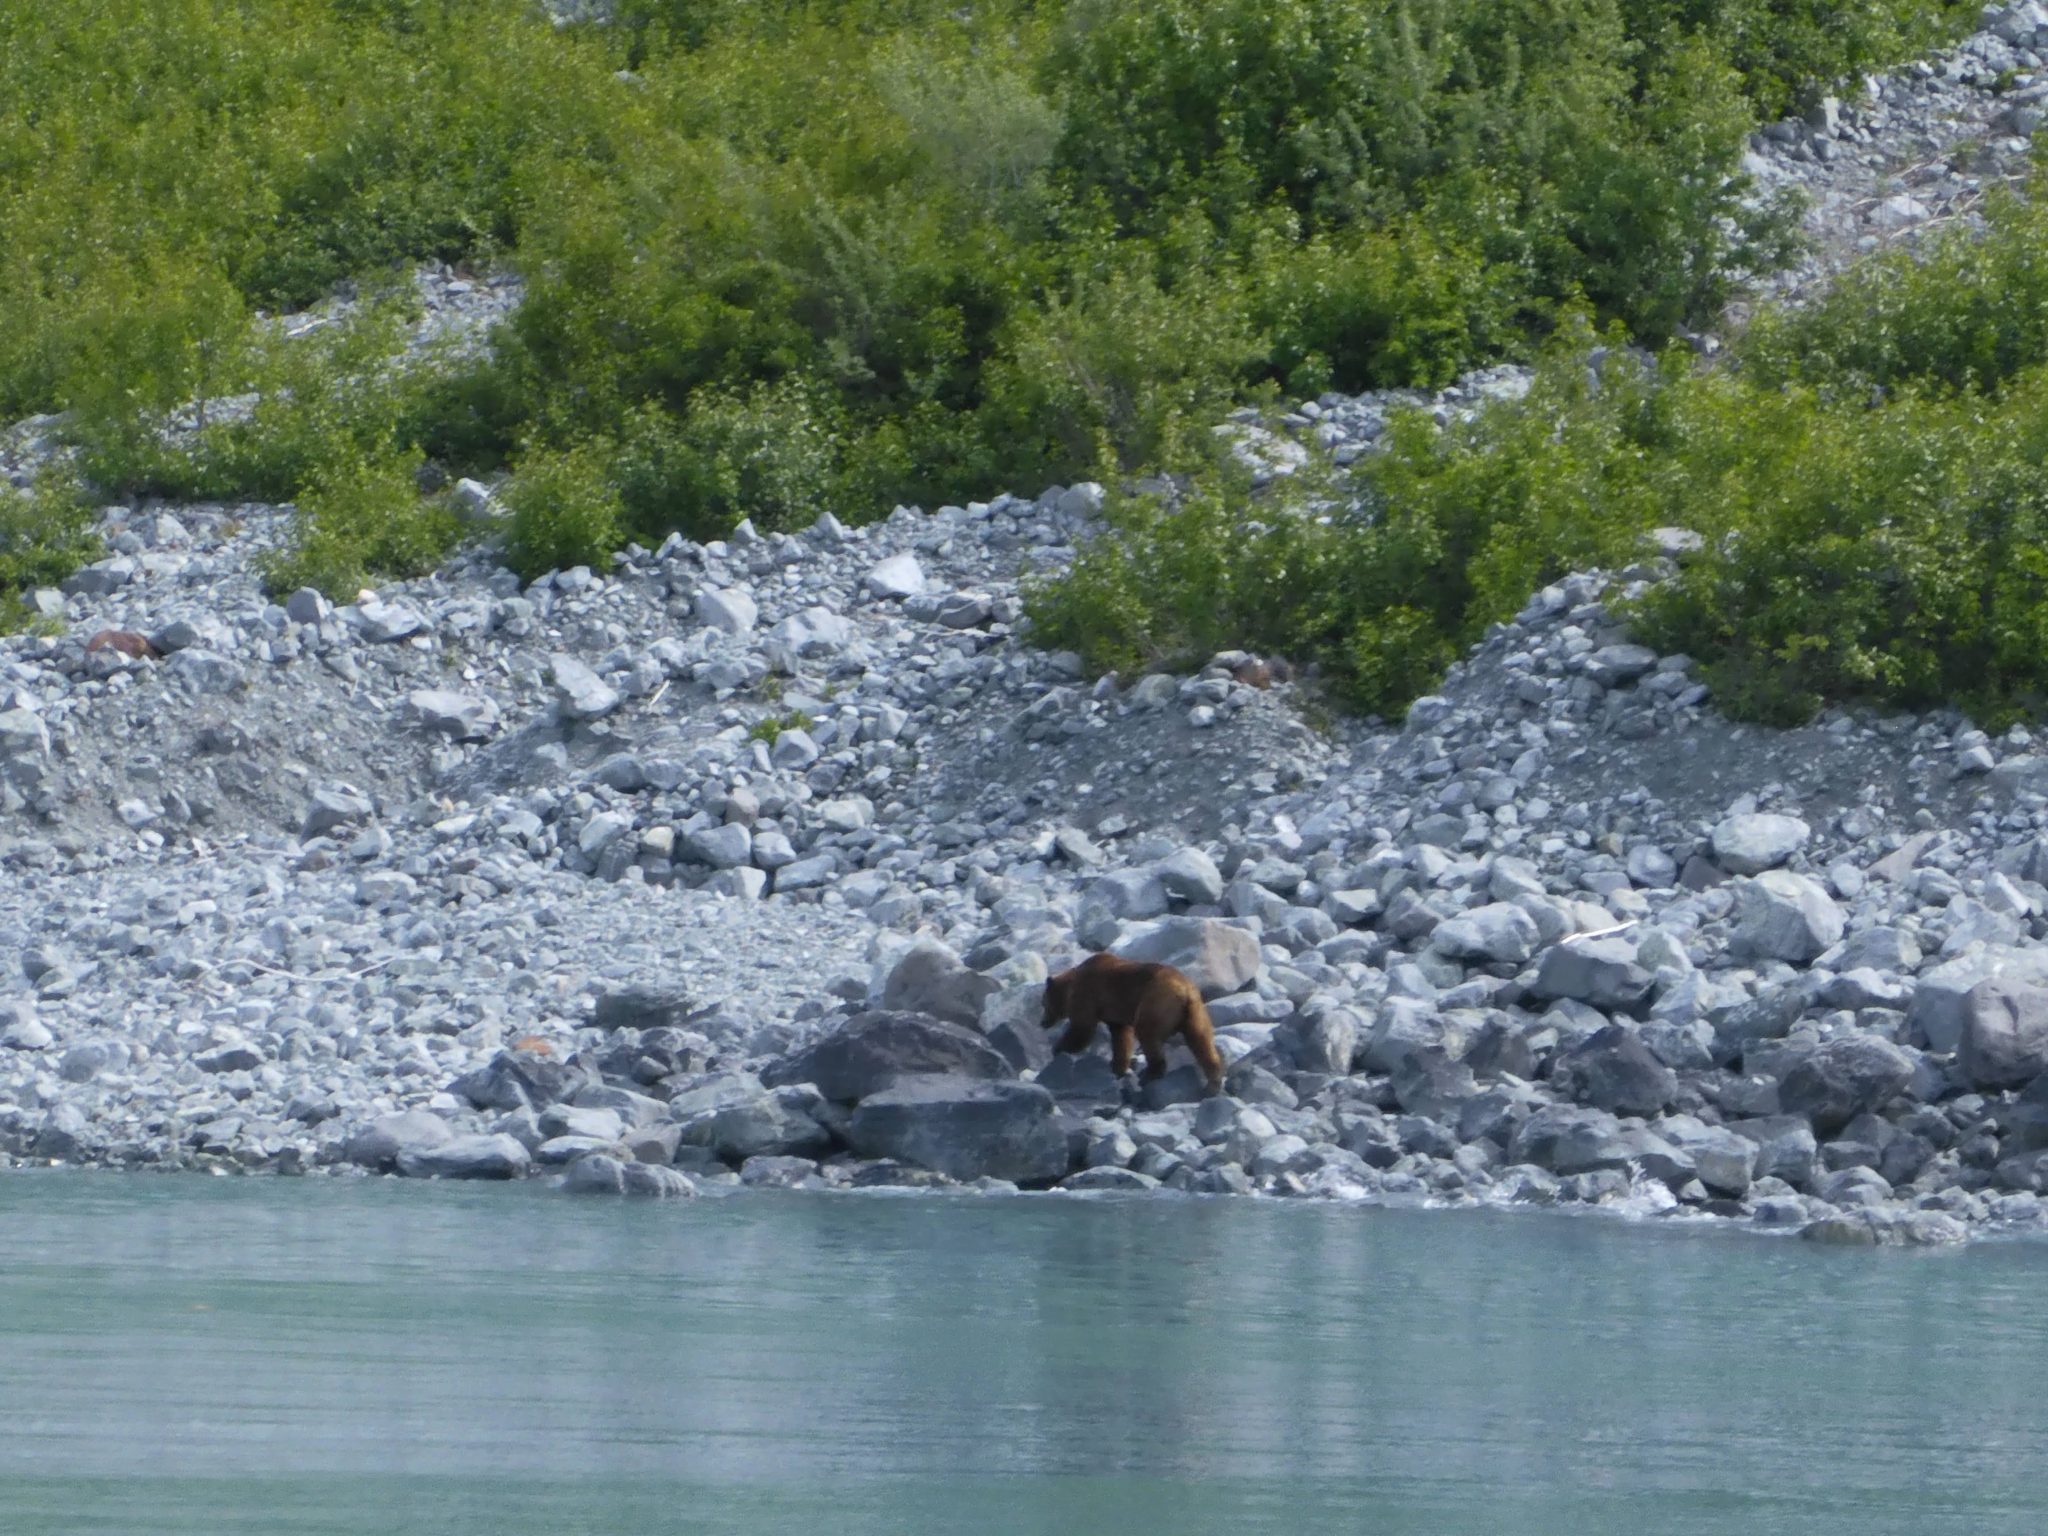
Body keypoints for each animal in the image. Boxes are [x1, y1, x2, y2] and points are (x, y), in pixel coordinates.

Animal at [1048, 958, 1220, 1097]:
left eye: (1044, 1002)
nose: (1044, 1022)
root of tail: (1185, 992)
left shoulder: (1087, 993)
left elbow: (1082, 1029)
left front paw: (1058, 1049)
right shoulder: (1115, 1014)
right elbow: (1121, 1037)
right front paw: (1117, 1067)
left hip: (1155, 1003)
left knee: (1148, 1036)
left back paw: (1150, 1075)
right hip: (1195, 1014)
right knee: (1202, 1042)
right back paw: (1212, 1084)